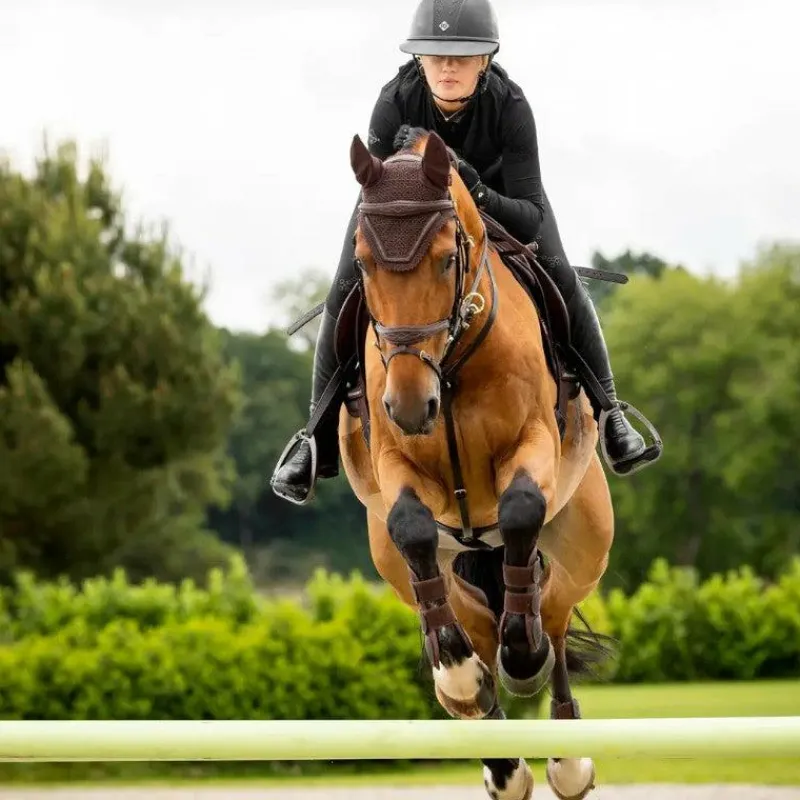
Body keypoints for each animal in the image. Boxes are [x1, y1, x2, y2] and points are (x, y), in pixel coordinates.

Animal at [337, 128, 614, 800]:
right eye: (363, 263)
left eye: (445, 259)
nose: (411, 406)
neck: (453, 361)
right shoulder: (394, 464)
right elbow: (411, 526)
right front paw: (457, 676)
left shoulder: (533, 443)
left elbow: (519, 509)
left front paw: (523, 657)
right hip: (412, 566)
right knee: (463, 622)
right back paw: (496, 748)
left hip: (583, 544)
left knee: (553, 619)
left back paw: (563, 750)